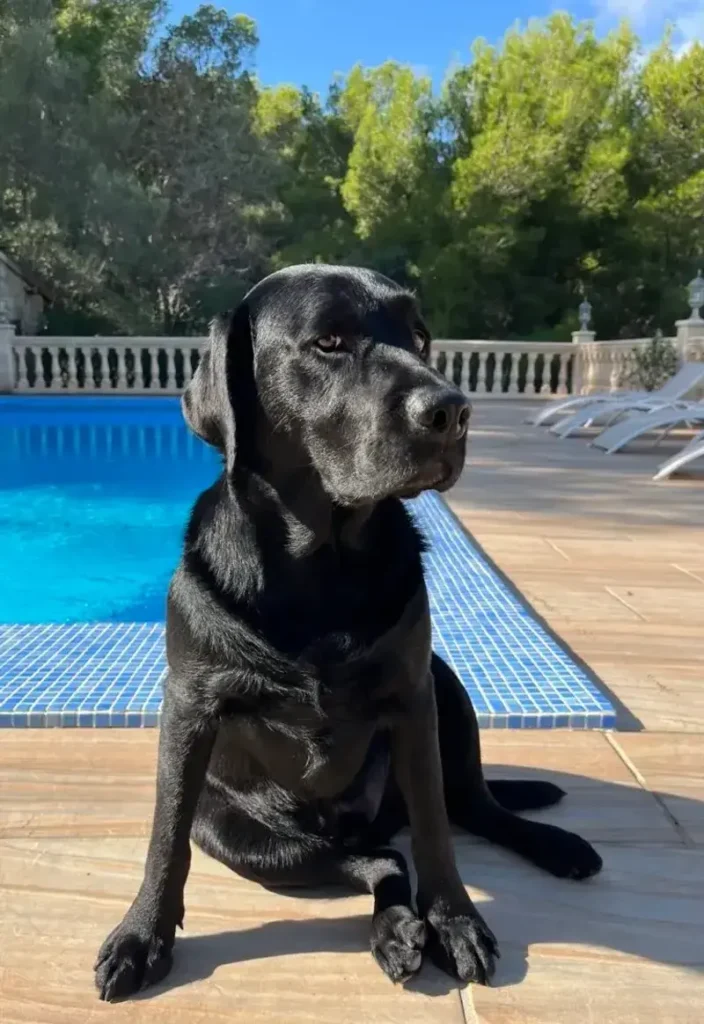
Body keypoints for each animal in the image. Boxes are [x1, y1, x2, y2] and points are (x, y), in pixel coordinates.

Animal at [92, 264, 597, 999]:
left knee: (467, 808)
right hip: (248, 840)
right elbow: (166, 836)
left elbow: (437, 834)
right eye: (328, 341)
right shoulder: (189, 705)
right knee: (379, 858)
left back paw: (549, 849)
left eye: (420, 336)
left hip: (448, 687)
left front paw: (455, 921)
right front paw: (141, 936)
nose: (451, 410)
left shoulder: (414, 696)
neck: (319, 567)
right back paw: (395, 930)